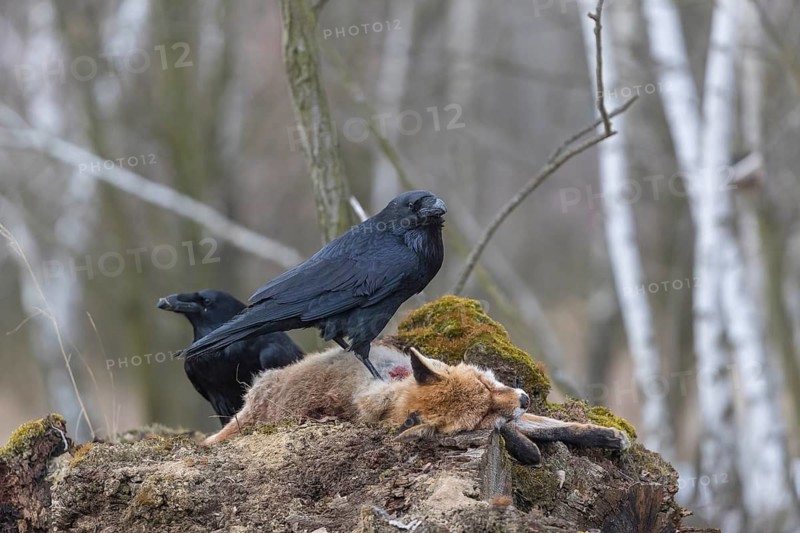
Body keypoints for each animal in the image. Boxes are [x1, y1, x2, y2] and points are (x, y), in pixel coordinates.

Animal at [201, 342, 630, 463]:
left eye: (486, 383)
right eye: (482, 414)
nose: (524, 396)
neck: (395, 384)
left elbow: (560, 427)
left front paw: (607, 435)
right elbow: (520, 433)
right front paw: (526, 448)